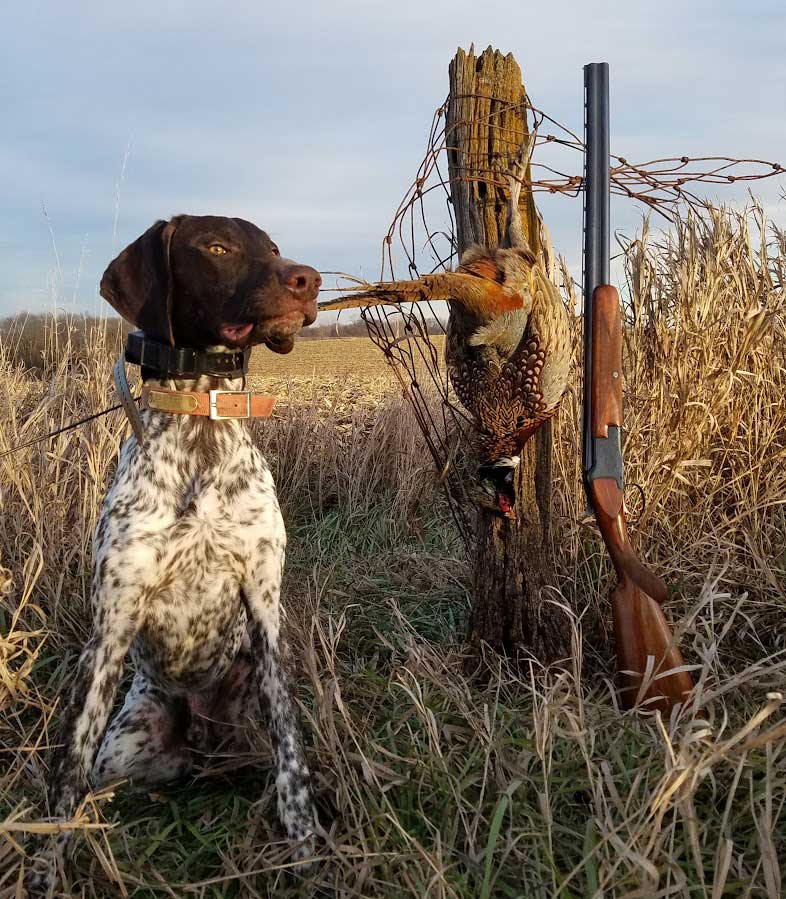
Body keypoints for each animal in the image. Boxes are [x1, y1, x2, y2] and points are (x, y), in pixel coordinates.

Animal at [25, 214, 318, 896]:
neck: (202, 419)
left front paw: (305, 847)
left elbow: (292, 755)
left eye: (271, 247)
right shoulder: (110, 630)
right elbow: (67, 768)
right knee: (117, 779)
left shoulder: (265, 608)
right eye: (216, 247)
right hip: (130, 740)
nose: (309, 279)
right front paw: (49, 863)